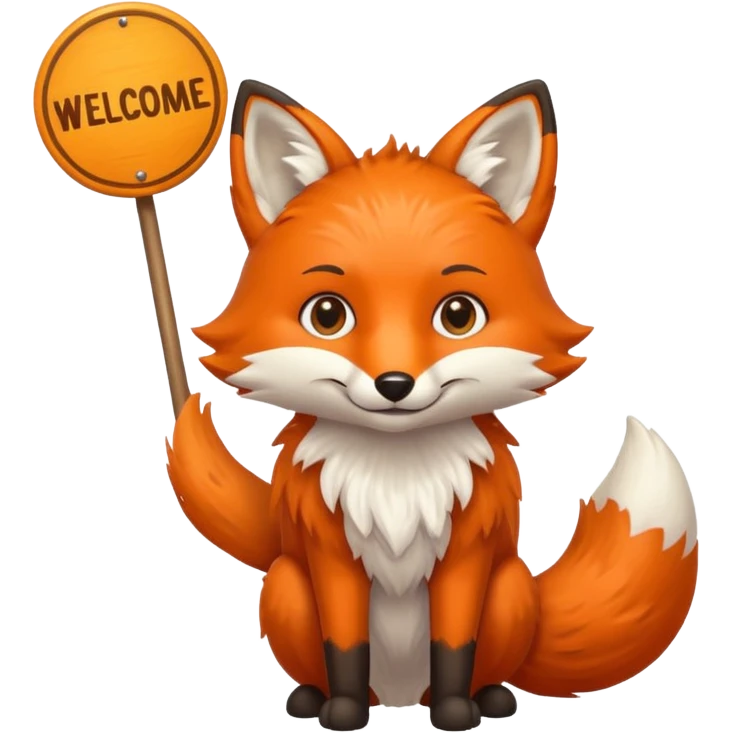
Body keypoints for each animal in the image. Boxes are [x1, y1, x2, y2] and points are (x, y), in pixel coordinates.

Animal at [165, 79, 699, 732]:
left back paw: (488, 697)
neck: (396, 479)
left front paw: (454, 712)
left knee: (485, 662)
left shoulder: (467, 555)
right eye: (327, 315)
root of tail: (399, 697)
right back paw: (318, 698)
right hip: (286, 586)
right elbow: (346, 647)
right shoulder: (331, 557)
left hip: (510, 589)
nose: (394, 384)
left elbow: (453, 646)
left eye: (458, 315)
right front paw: (344, 711)